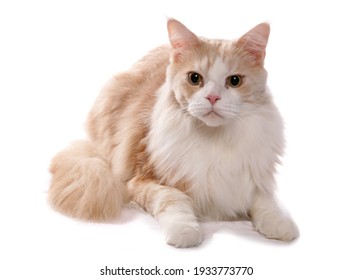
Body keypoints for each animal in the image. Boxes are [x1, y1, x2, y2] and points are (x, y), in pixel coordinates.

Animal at [48, 19, 296, 247]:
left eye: (234, 81)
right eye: (194, 78)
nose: (212, 98)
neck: (215, 139)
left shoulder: (253, 178)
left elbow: (265, 203)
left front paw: (280, 224)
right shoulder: (142, 181)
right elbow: (175, 200)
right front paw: (185, 232)